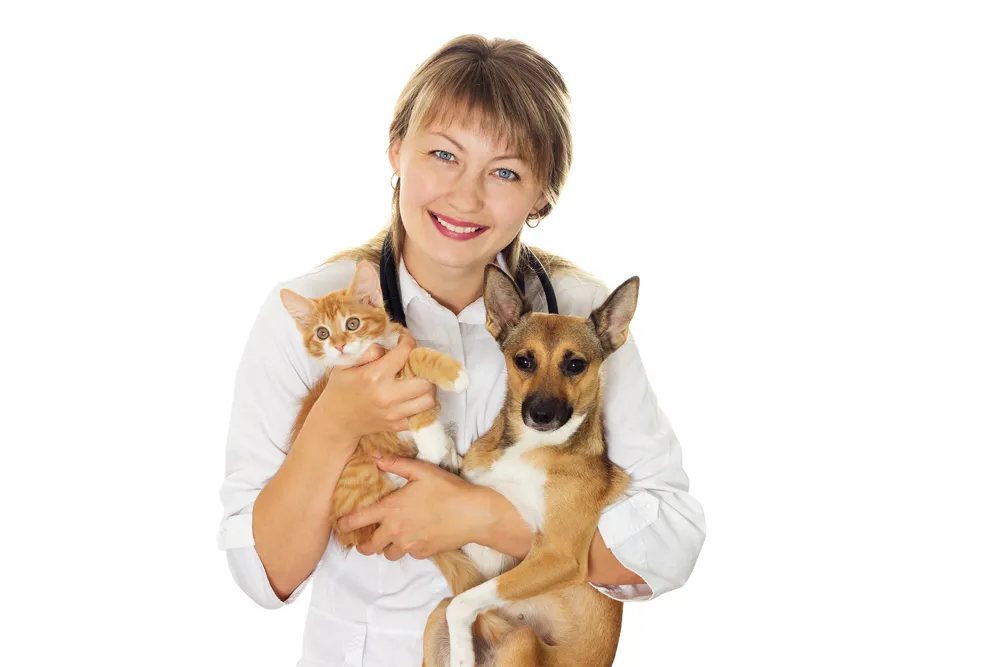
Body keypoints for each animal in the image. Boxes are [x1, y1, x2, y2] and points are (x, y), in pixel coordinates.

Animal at [422, 266, 640, 667]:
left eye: (575, 365)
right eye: (524, 360)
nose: (541, 414)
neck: (528, 447)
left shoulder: (557, 556)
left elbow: (464, 602)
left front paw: (462, 654)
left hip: (521, 640)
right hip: (435, 622)